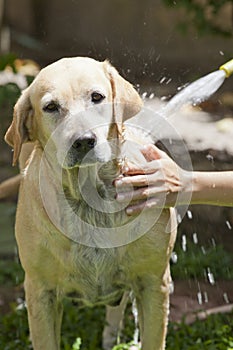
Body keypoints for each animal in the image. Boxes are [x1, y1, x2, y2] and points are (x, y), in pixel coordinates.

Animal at [5, 57, 177, 350]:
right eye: (51, 107)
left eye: (97, 97)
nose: (84, 141)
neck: (89, 199)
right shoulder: (40, 290)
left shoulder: (154, 283)